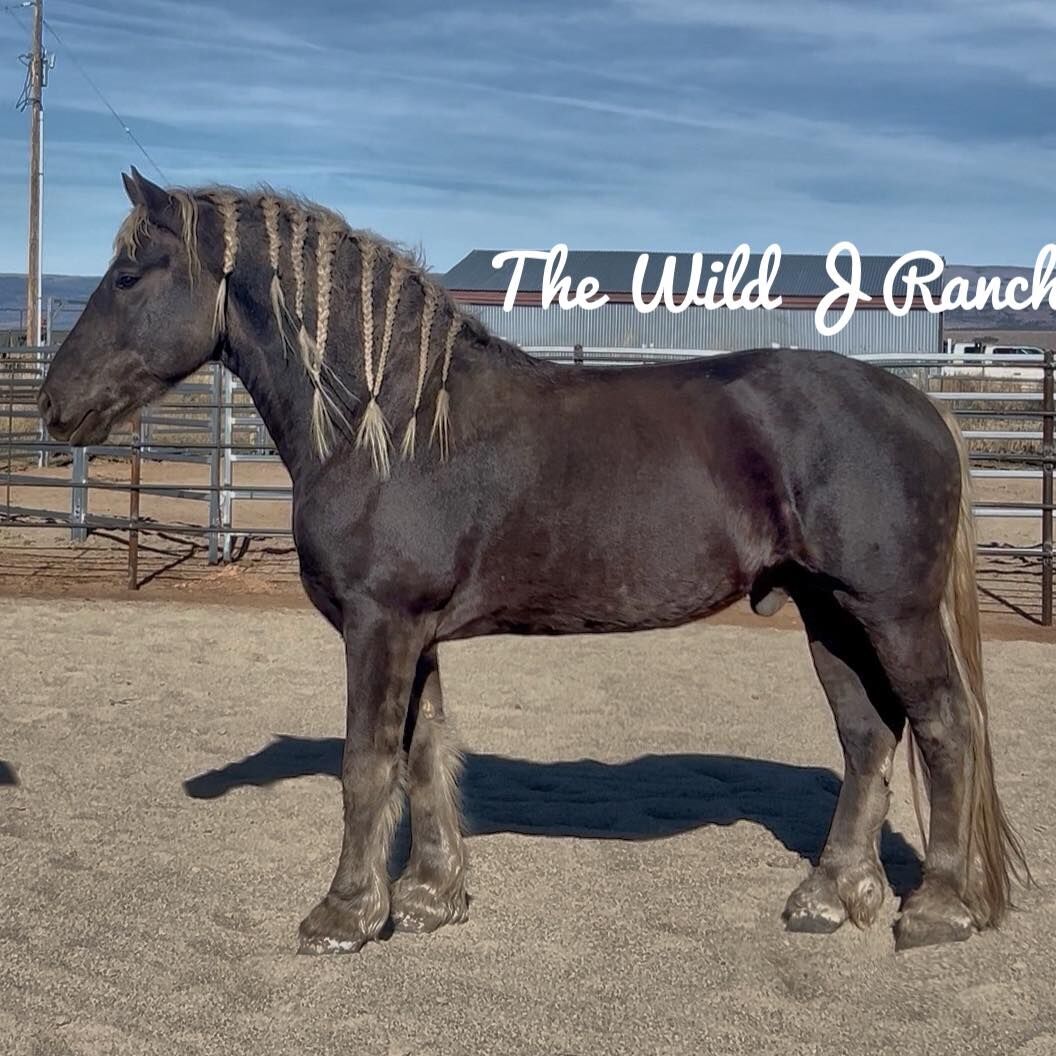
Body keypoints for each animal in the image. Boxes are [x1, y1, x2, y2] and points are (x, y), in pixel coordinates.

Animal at [38, 168, 1029, 955]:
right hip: (828, 611)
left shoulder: (378, 625)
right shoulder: (414, 631)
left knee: (945, 727)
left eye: (127, 275)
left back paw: (936, 910)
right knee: (867, 737)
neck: (391, 423)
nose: (52, 407)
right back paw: (830, 896)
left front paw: (346, 915)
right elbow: (424, 751)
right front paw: (430, 899)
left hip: (890, 611)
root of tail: (918, 405)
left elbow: (367, 763)